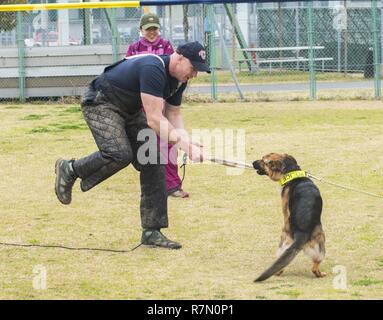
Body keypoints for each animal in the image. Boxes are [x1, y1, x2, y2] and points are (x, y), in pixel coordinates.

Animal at [254, 154, 326, 282]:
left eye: (264, 161)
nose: (252, 162)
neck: (293, 172)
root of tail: (302, 232)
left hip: (285, 238)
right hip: (320, 242)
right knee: (315, 265)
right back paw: (319, 274)